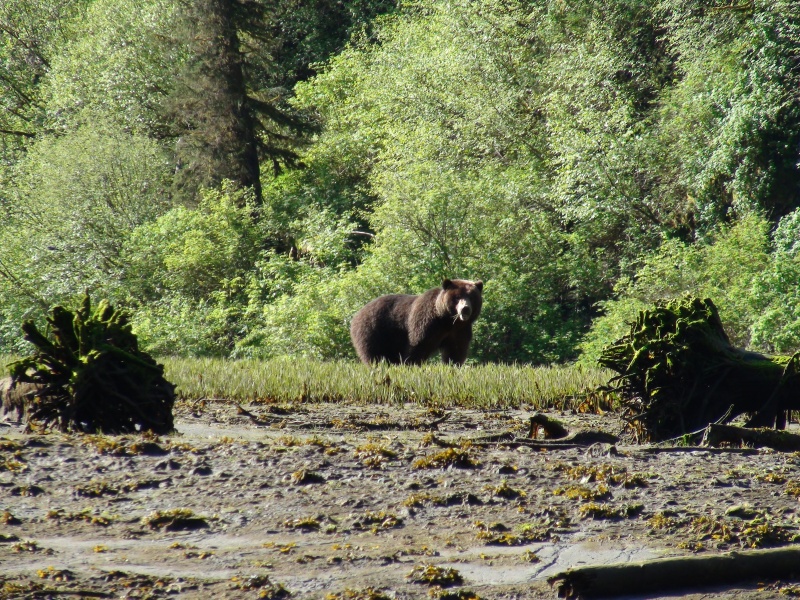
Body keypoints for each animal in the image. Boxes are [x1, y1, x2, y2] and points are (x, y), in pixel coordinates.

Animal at [350, 279, 483, 366]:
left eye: (471, 297)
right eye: (457, 297)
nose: (465, 308)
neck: (447, 321)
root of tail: (357, 314)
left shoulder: (460, 331)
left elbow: (456, 350)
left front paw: (453, 364)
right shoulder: (426, 323)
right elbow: (417, 344)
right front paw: (411, 364)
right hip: (373, 329)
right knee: (373, 353)